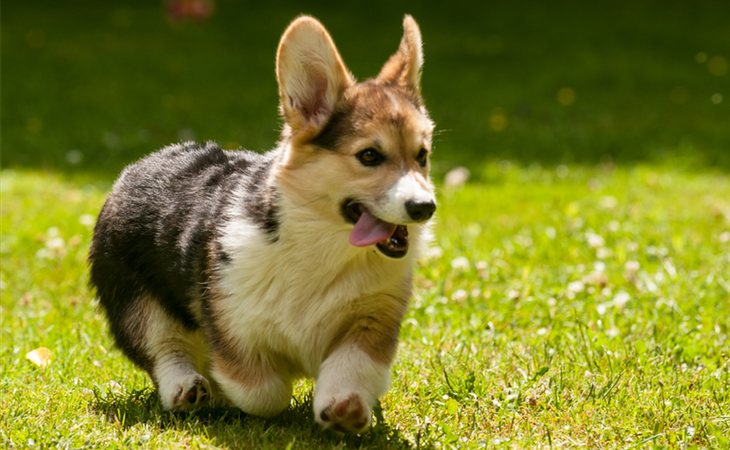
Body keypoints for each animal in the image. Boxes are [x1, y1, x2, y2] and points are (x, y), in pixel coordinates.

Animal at [89, 15, 436, 434]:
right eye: (369, 156)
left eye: (422, 156)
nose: (425, 207)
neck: (324, 243)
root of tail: (139, 164)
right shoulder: (231, 324)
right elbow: (264, 391)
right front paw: (229, 390)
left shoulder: (371, 319)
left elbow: (351, 366)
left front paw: (343, 408)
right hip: (137, 301)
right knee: (165, 347)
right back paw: (187, 389)